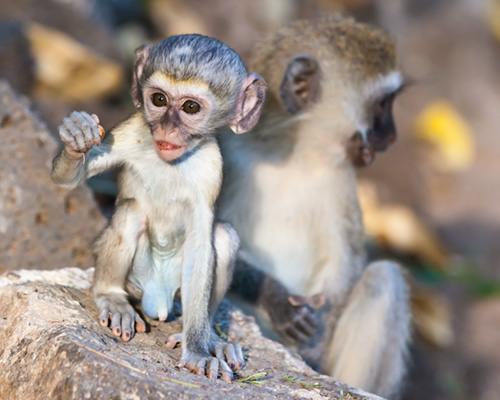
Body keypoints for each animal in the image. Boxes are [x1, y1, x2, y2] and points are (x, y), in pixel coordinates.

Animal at [218, 16, 410, 396]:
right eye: (382, 106)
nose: (392, 136)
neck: (292, 154)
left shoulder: (341, 182)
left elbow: (344, 266)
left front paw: (315, 348)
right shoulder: (227, 154)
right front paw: (276, 298)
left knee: (384, 278)